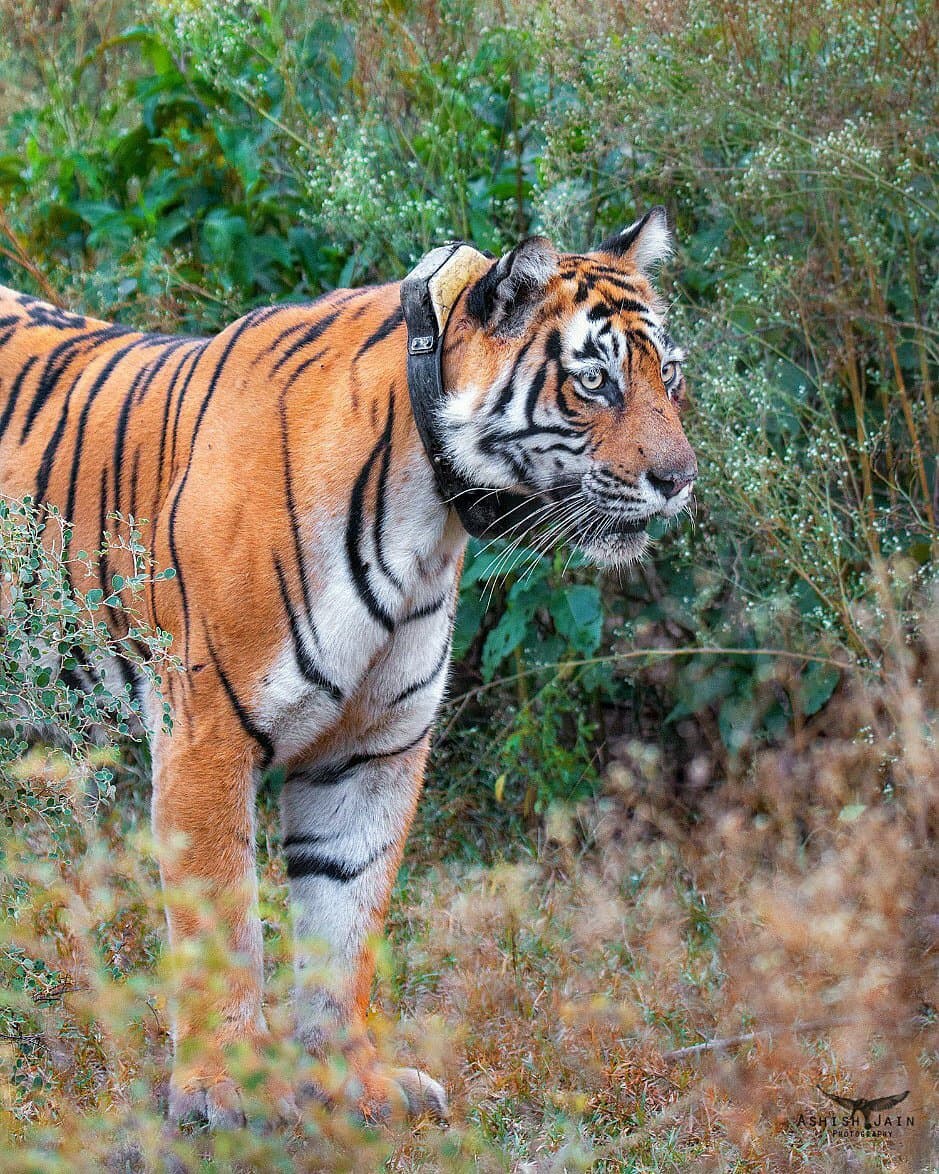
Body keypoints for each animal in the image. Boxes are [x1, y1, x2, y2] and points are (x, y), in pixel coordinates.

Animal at [0, 207, 697, 1126]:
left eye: (670, 377)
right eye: (594, 382)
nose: (680, 479)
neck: (427, 514)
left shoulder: (372, 747)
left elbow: (345, 916)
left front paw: (351, 1082)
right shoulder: (206, 736)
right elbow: (223, 921)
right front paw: (223, 1090)